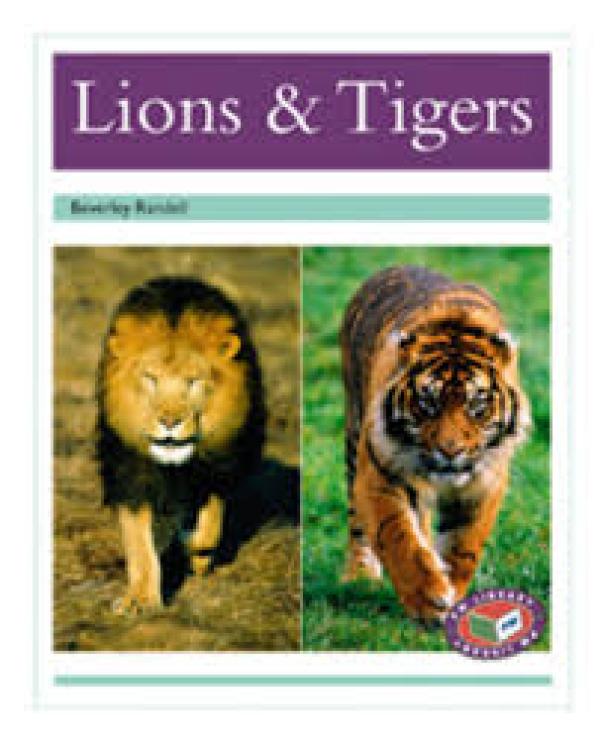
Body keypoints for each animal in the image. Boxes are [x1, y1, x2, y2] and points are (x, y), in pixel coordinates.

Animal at [97, 276, 265, 614]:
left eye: (193, 381)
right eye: (150, 378)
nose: (170, 421)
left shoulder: (219, 466)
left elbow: (210, 528)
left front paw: (191, 550)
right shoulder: (131, 472)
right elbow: (139, 544)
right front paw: (140, 599)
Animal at [340, 265, 530, 623]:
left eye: (476, 404)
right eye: (427, 403)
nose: (450, 451)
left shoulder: (484, 484)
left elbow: (463, 545)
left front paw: (452, 598)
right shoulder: (380, 473)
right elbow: (397, 535)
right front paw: (427, 600)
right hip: (355, 436)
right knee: (358, 522)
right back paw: (360, 577)